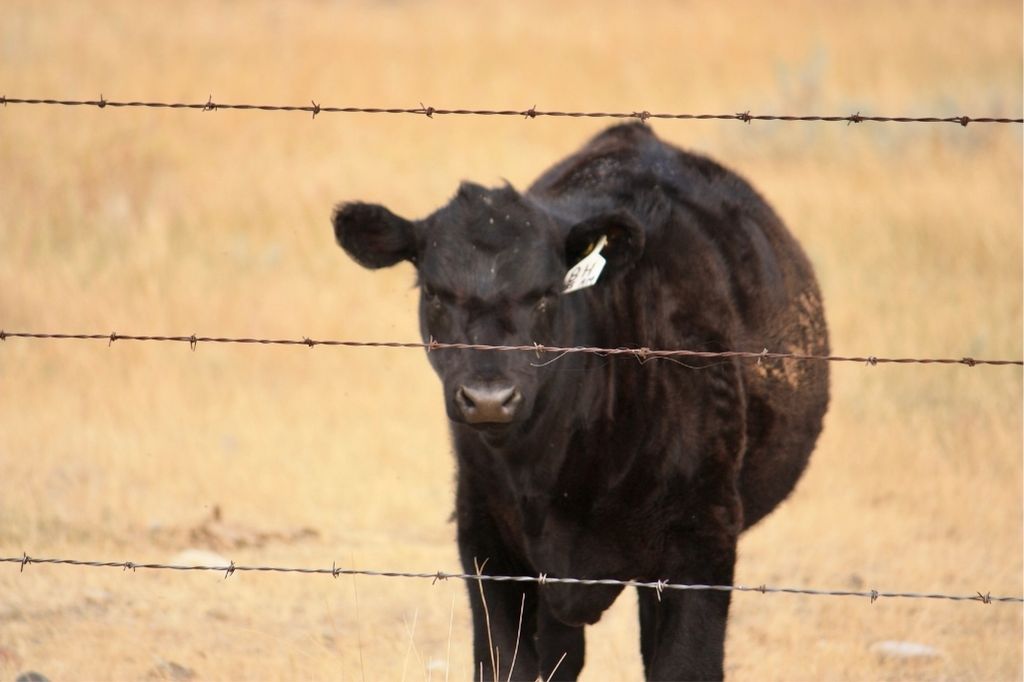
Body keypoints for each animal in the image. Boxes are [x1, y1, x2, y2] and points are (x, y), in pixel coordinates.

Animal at [332, 123, 829, 681]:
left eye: (547, 294)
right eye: (436, 293)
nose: (489, 398)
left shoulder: (703, 539)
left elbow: (683, 666)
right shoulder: (485, 540)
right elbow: (505, 662)